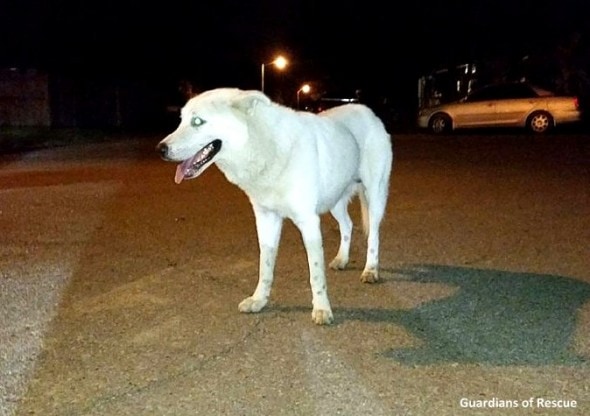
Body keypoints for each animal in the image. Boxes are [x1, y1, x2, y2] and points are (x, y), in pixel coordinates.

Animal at [158, 88, 394, 324]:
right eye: (181, 121)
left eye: (197, 121)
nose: (160, 149)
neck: (264, 146)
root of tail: (369, 112)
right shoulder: (266, 218)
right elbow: (265, 265)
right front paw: (259, 300)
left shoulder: (308, 221)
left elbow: (315, 274)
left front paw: (321, 309)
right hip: (335, 198)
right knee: (347, 225)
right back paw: (342, 259)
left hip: (374, 196)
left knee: (373, 234)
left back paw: (371, 270)